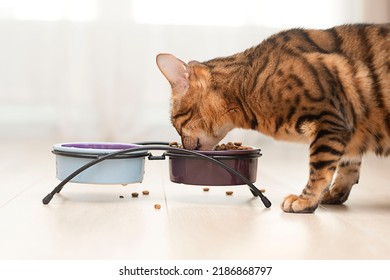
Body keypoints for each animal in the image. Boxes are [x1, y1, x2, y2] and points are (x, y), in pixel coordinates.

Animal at [156, 24, 390, 213]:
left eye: (176, 122)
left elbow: (321, 167)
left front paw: (306, 200)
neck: (245, 88)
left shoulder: (329, 119)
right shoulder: (349, 132)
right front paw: (334, 194)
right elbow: (348, 165)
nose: (182, 145)